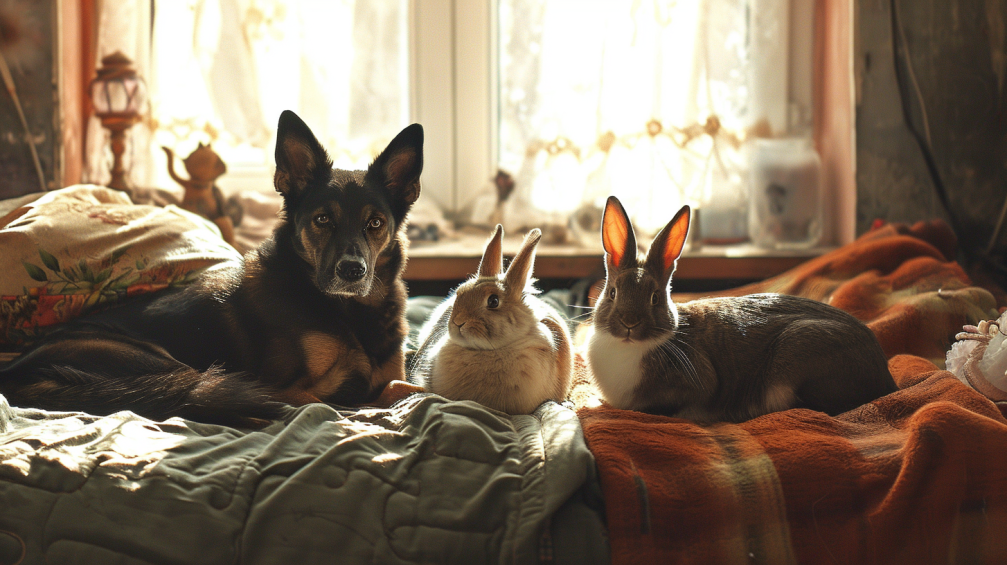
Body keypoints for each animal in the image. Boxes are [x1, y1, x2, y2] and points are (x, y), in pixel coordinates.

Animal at [0, 110, 422, 422]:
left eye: (375, 223)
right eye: (322, 220)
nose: (352, 271)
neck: (351, 310)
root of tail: (14, 375)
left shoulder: (387, 374)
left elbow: (409, 387)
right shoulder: (287, 388)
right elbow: (358, 400)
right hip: (170, 369)